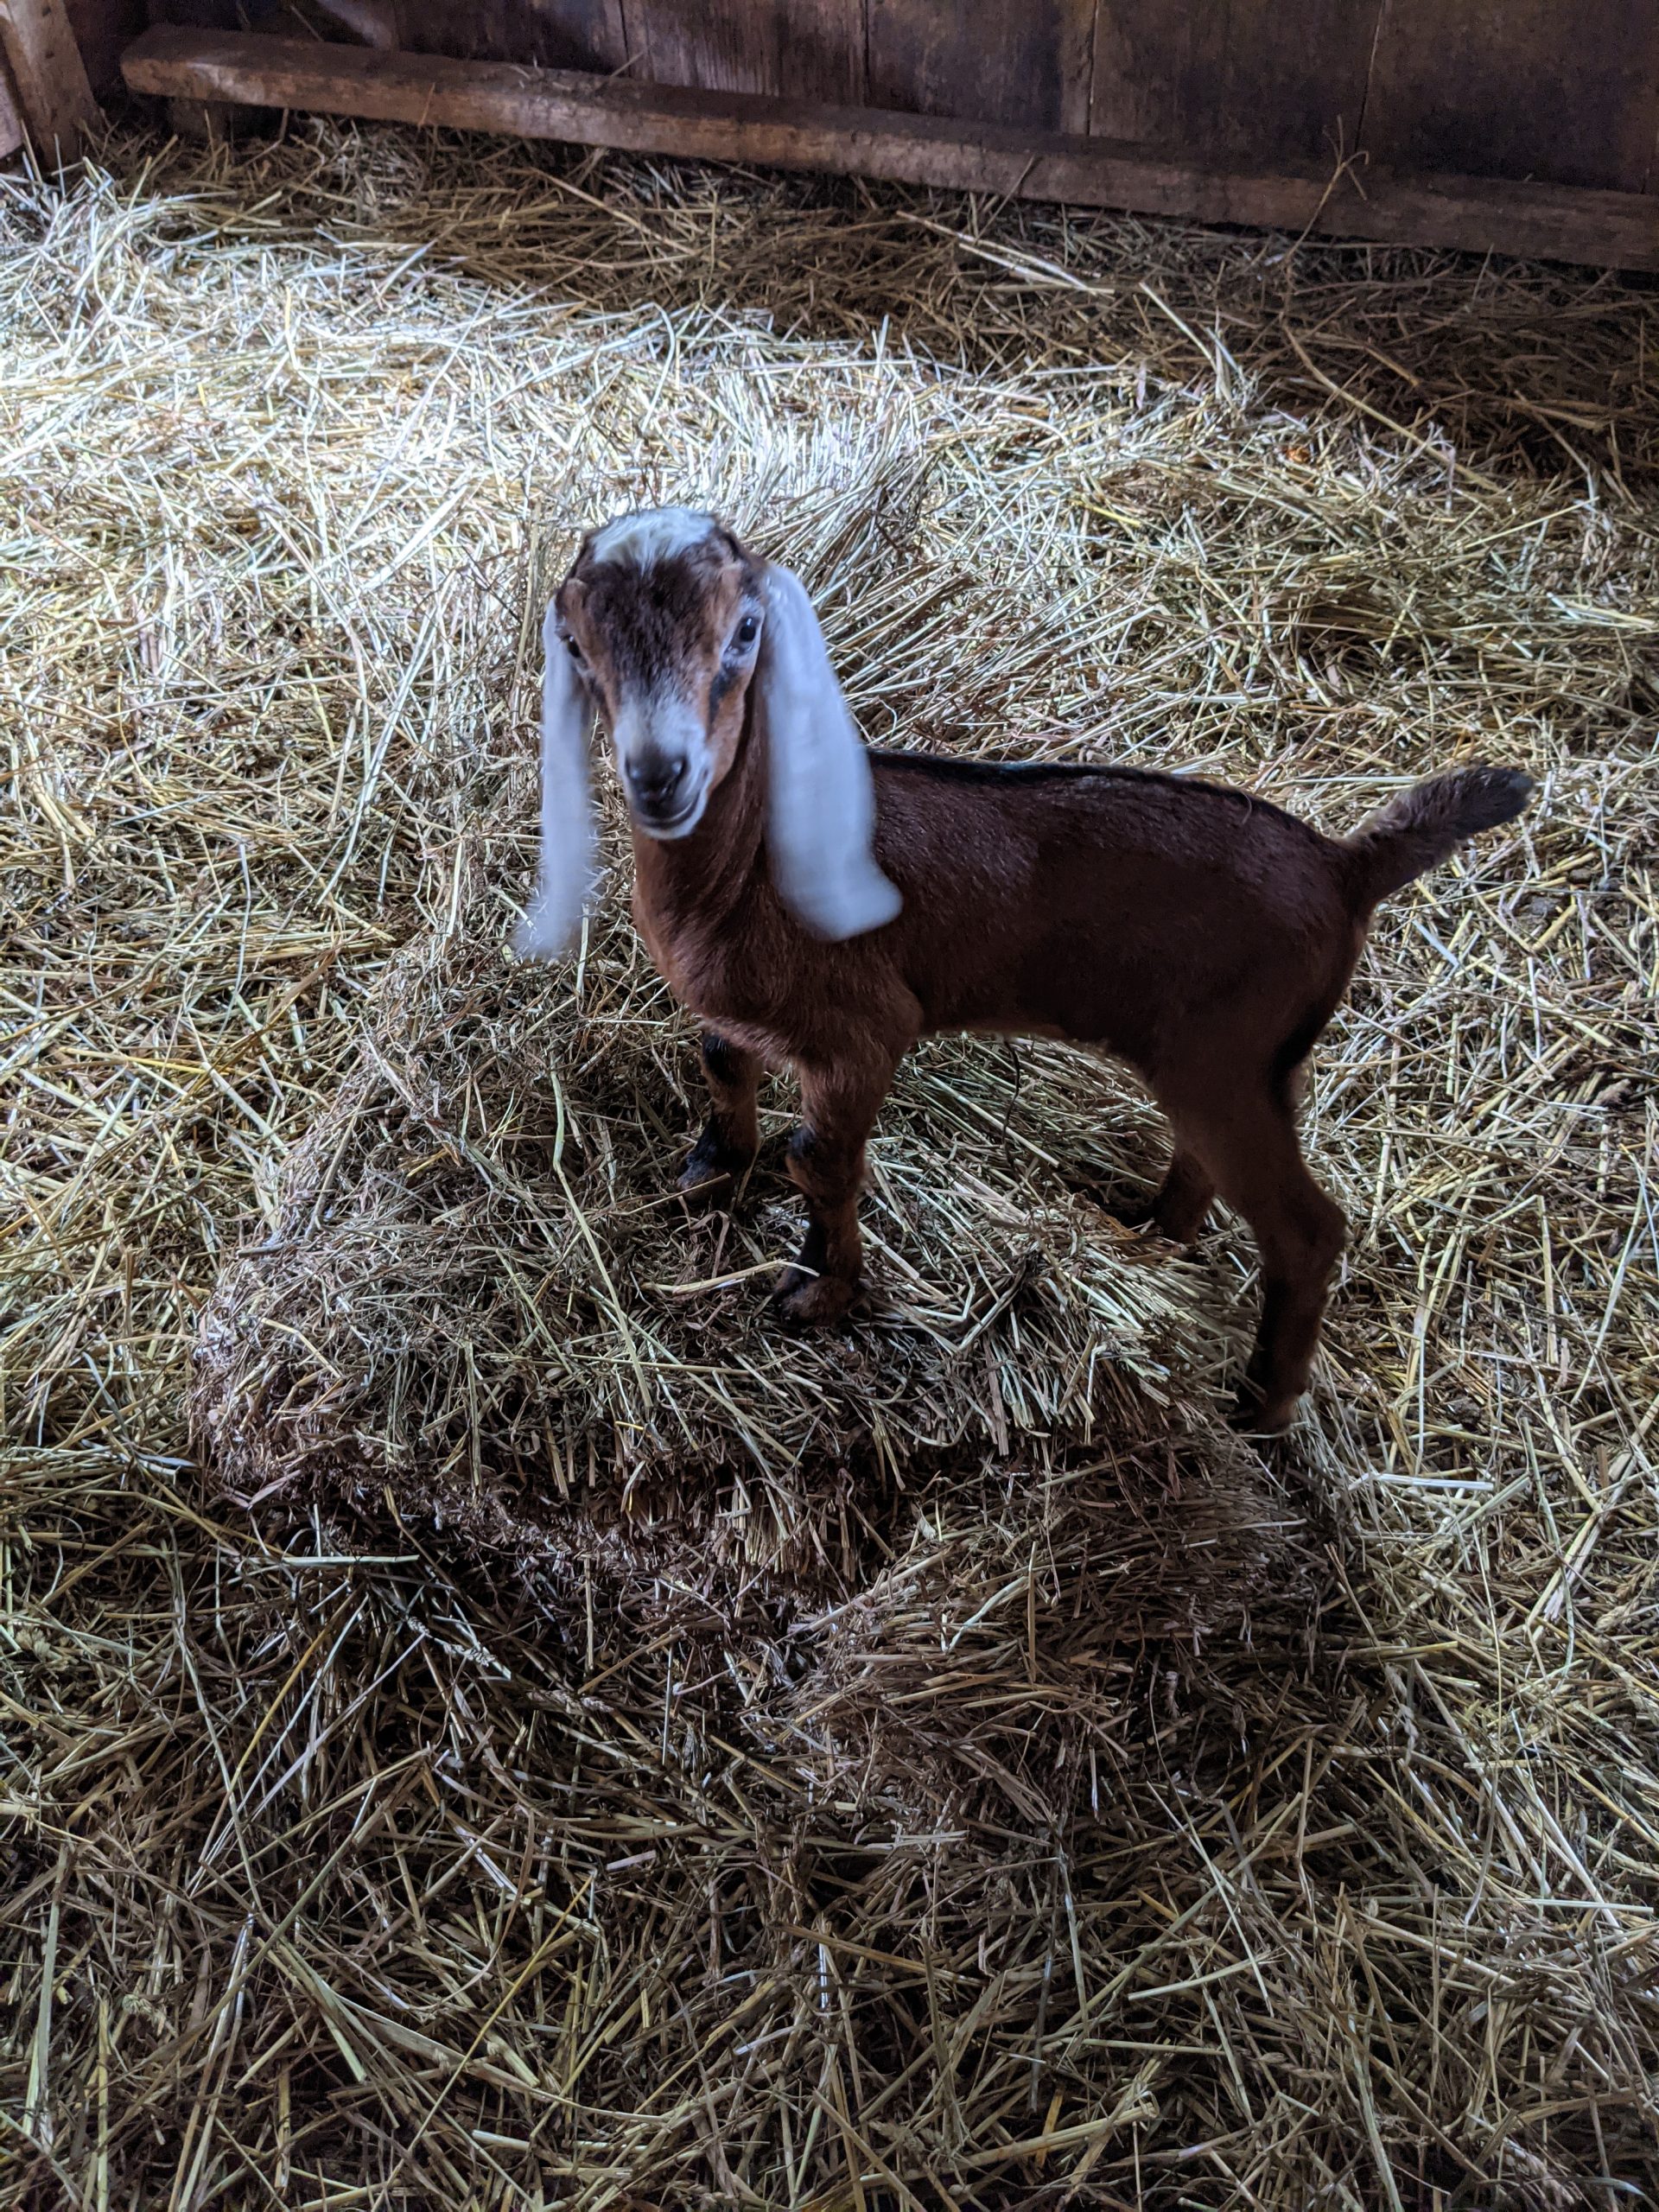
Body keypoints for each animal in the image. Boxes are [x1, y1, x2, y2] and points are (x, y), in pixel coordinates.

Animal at [518, 506, 1530, 1433]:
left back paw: (1261, 1408)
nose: (662, 774)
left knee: (1308, 1229)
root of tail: (1345, 865)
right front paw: (708, 1173)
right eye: (577, 642)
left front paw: (818, 1296)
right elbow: (723, 1067)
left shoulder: (864, 1033)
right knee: (1209, 1161)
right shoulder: (737, 1015)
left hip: (1234, 1057)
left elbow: (820, 1161)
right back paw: (1148, 1232)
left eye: (744, 632)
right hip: (1221, 1063)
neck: (741, 876)